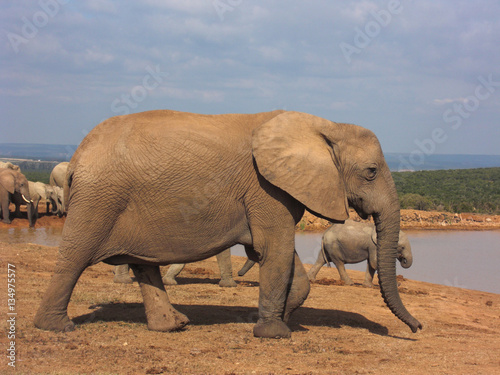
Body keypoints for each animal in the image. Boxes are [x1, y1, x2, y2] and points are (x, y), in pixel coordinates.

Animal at [33, 110, 420, 340]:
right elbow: (275, 249)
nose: (416, 328)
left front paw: (279, 319)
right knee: (75, 256)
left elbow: (280, 257)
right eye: (371, 172)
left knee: (144, 265)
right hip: (99, 199)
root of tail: (77, 155)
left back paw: (173, 326)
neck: (323, 125)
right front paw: (275, 332)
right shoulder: (266, 188)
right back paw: (57, 327)